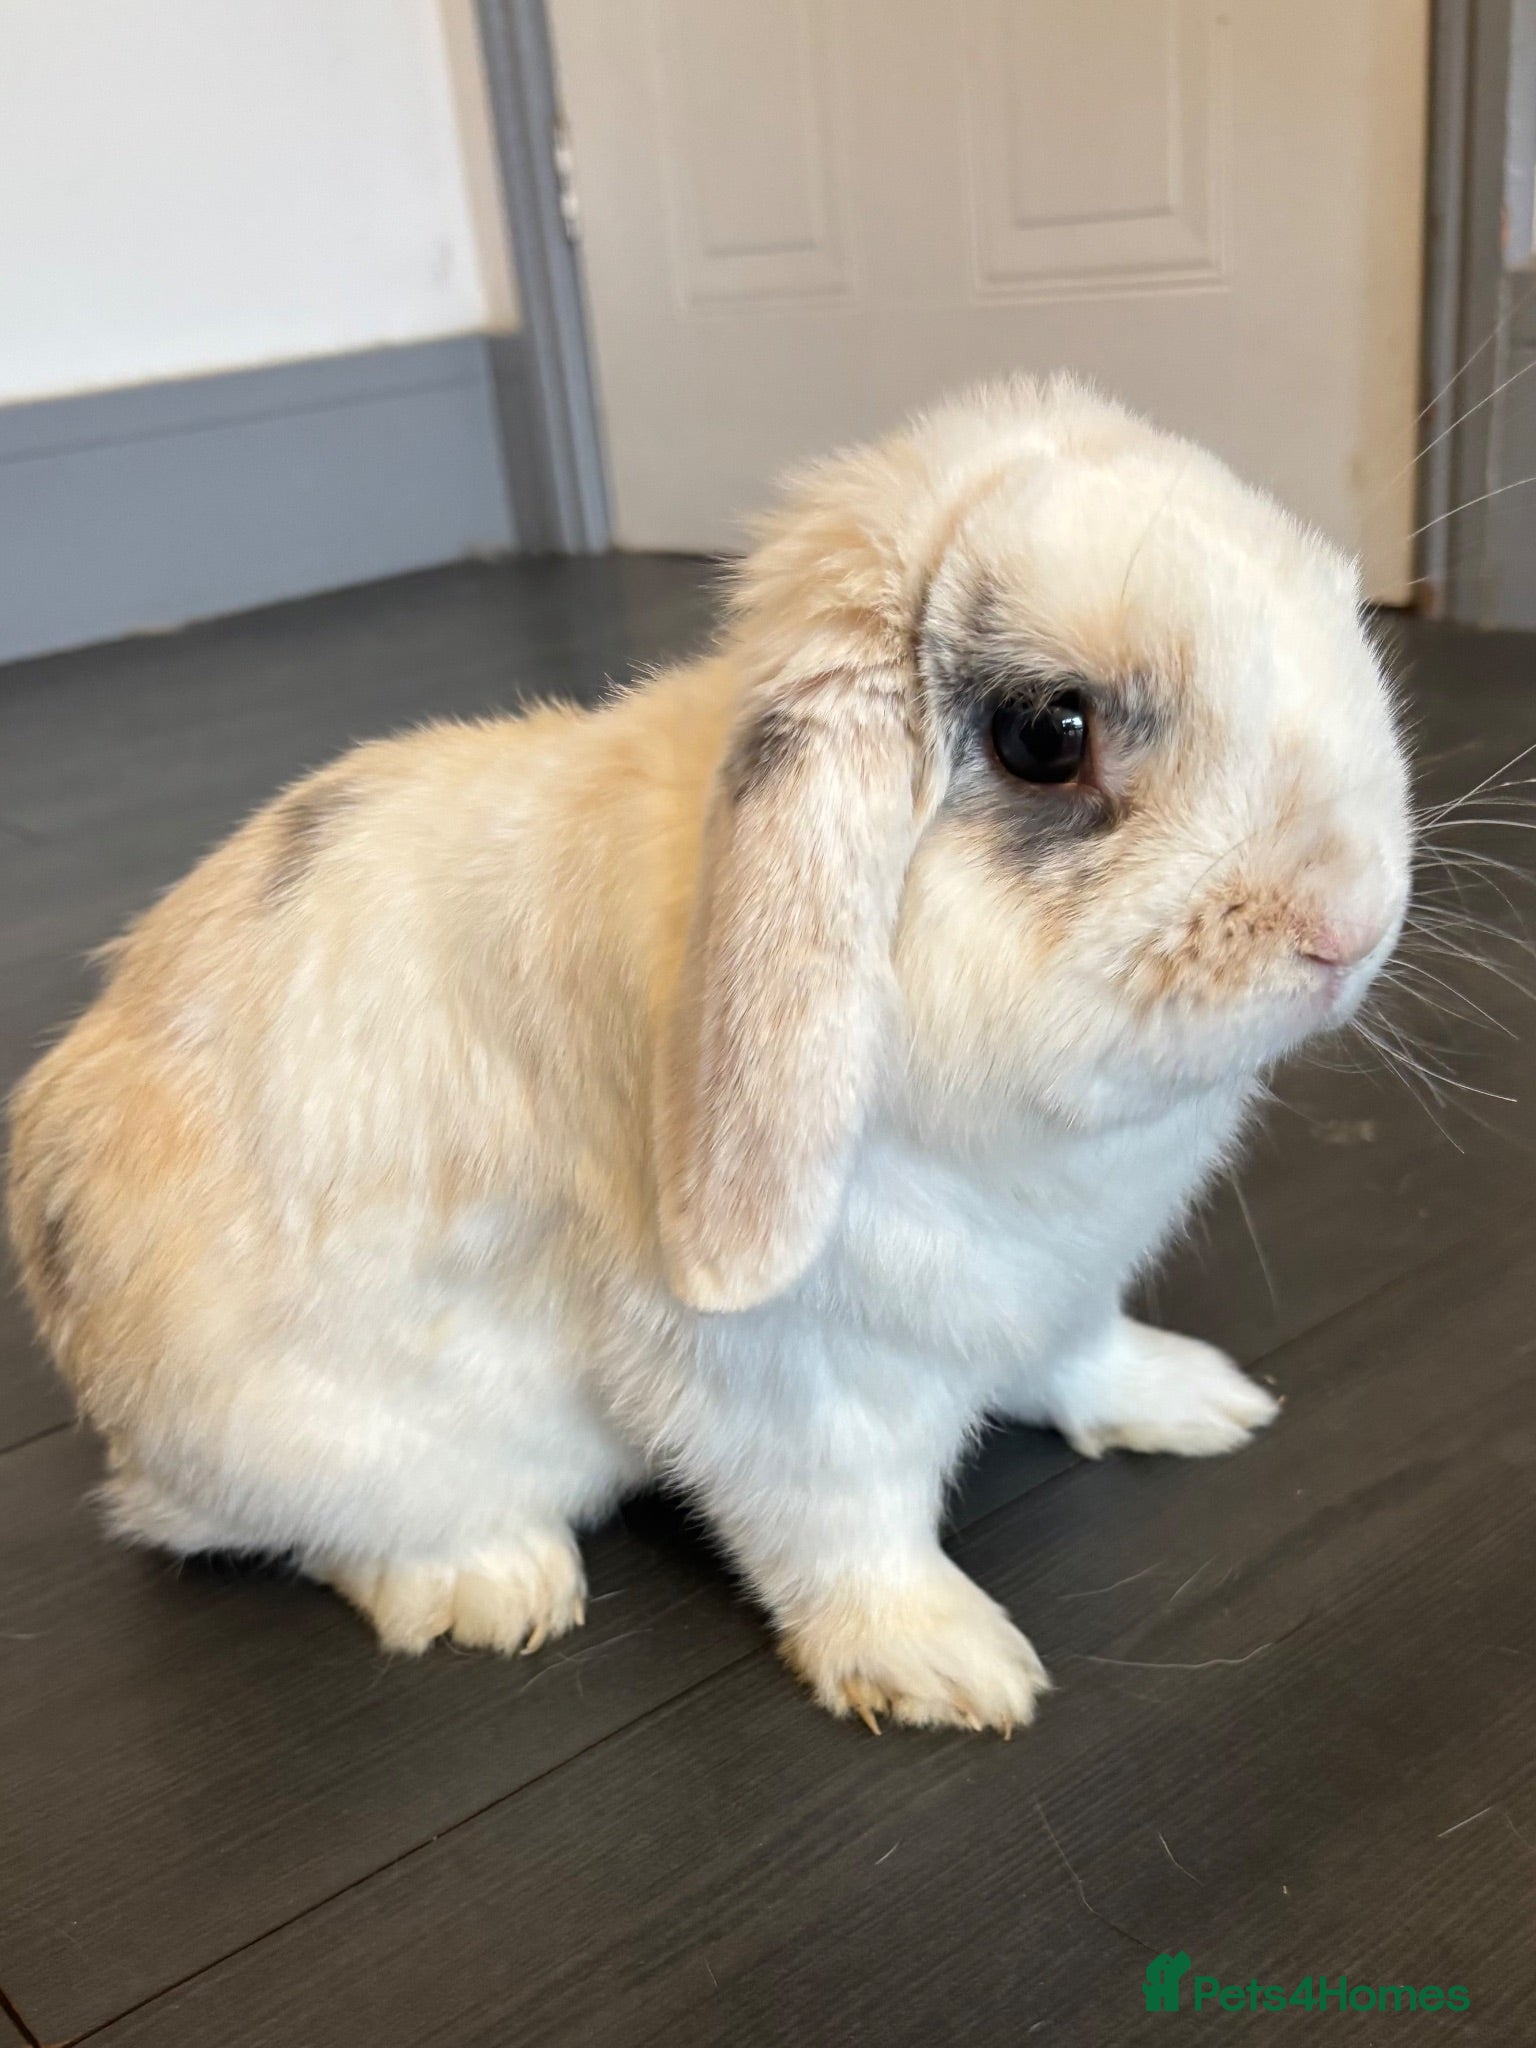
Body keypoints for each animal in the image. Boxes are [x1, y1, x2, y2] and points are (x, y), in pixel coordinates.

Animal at [7, 377, 1411, 1734]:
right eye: (1049, 734)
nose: (1348, 925)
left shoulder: (1059, 1285)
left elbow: (1078, 1356)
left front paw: (1197, 1399)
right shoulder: (784, 1381)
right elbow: (848, 1526)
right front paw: (946, 1667)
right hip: (311, 1437)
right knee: (308, 1533)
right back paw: (496, 1586)